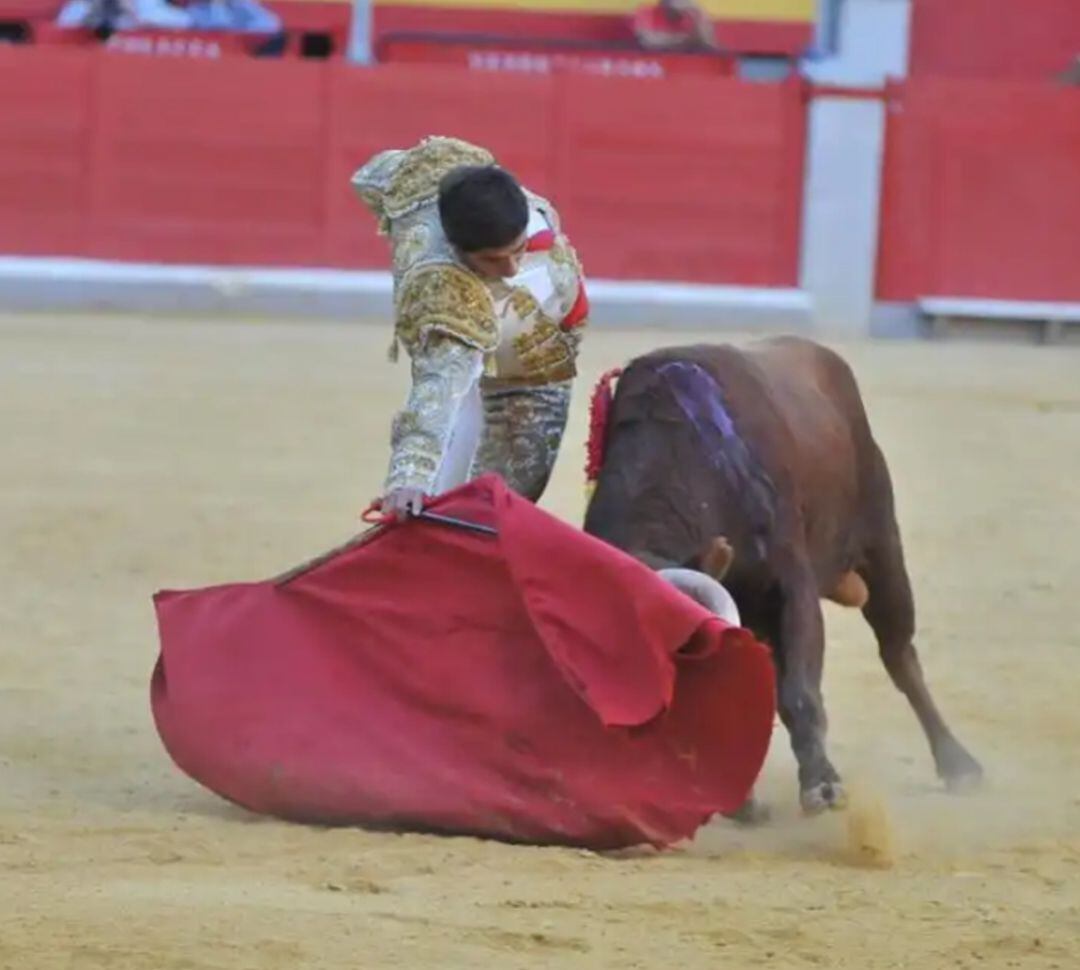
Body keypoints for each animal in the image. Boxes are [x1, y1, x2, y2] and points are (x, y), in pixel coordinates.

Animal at [587, 337, 984, 812]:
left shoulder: (792, 585)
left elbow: (798, 692)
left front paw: (823, 785)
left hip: (882, 546)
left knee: (899, 656)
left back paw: (958, 764)